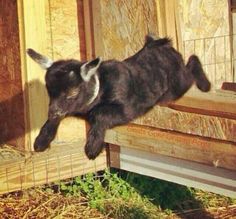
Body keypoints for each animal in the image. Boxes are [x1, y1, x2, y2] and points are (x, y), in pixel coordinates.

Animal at [26, 35, 210, 160]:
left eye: (73, 92)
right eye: (49, 91)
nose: (52, 110)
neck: (100, 86)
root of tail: (164, 45)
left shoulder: (127, 109)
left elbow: (99, 114)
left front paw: (92, 149)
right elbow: (56, 119)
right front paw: (40, 142)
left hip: (178, 85)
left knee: (191, 63)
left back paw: (205, 85)